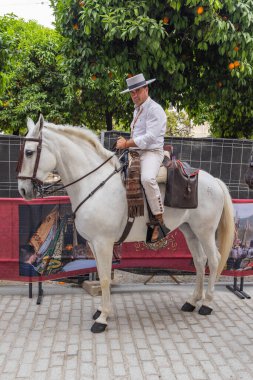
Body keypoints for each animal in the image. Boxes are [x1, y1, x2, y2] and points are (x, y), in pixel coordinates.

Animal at [18, 115, 235, 332]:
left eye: (29, 152)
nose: (23, 190)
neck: (94, 183)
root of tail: (214, 181)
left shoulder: (103, 243)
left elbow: (106, 278)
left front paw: (102, 318)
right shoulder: (93, 244)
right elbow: (100, 274)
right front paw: (100, 310)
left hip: (205, 231)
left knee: (213, 260)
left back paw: (207, 304)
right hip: (190, 231)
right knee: (199, 260)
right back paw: (192, 301)